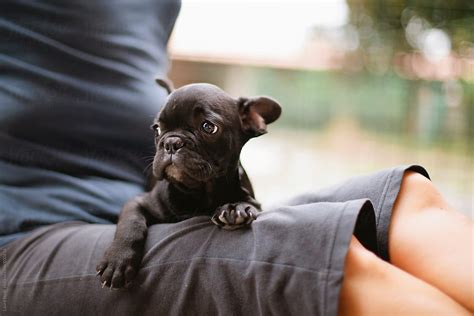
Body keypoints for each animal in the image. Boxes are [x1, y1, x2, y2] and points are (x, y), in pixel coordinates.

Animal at [96, 81, 282, 288]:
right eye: (157, 129)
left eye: (208, 127)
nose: (171, 142)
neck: (197, 192)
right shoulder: (138, 202)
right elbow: (131, 224)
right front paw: (117, 261)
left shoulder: (253, 200)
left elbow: (248, 204)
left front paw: (233, 208)